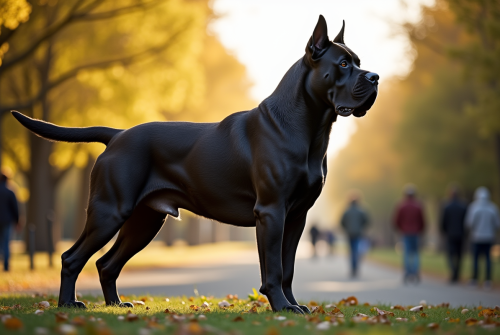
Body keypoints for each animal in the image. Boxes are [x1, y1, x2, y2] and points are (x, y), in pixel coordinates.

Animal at [11, 15, 376, 316]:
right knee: (72, 257)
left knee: (106, 263)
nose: (374, 77)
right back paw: (67, 304)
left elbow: (288, 268)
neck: (311, 128)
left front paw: (294, 305)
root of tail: (117, 135)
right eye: (344, 63)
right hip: (109, 212)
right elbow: (273, 268)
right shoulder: (272, 212)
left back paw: (116, 304)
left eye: (358, 62)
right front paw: (282, 307)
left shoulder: (296, 216)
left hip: (145, 220)